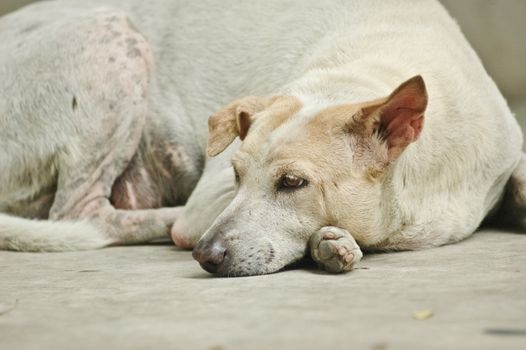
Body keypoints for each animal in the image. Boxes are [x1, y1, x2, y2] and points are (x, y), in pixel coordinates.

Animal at [0, 0, 524, 276]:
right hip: (111, 38)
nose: (204, 253)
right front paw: (332, 244)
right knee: (78, 213)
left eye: (293, 183)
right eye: (235, 176)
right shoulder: (208, 198)